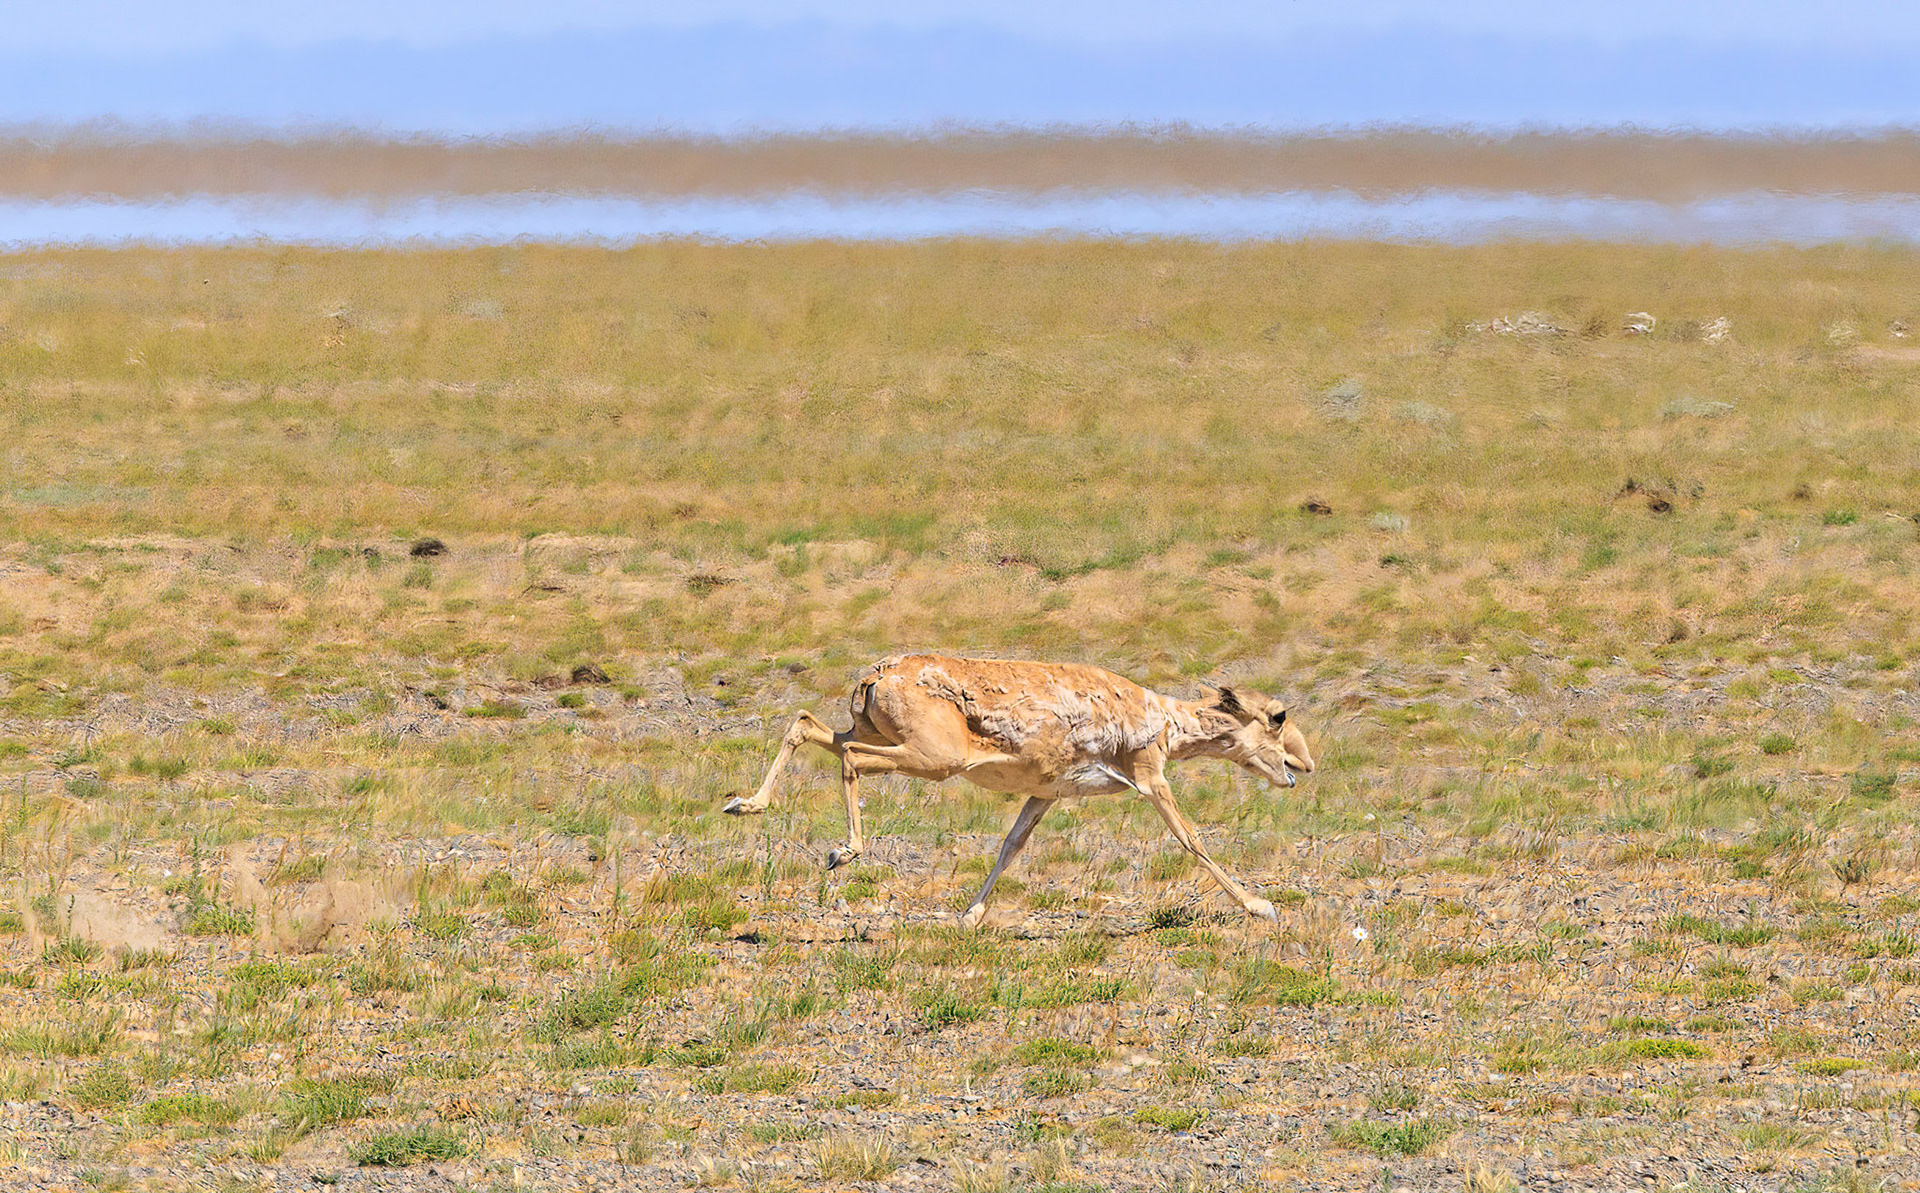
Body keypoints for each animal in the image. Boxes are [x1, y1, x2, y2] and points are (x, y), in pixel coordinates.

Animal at [723, 654, 1314, 926]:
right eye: (1279, 716)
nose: (1303, 767)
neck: (1163, 718)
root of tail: (878, 675)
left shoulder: (1045, 795)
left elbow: (1010, 847)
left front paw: (969, 915)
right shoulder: (1152, 780)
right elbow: (1192, 840)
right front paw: (1260, 906)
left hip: (881, 737)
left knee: (807, 725)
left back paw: (743, 804)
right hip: (934, 760)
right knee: (847, 757)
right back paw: (842, 852)